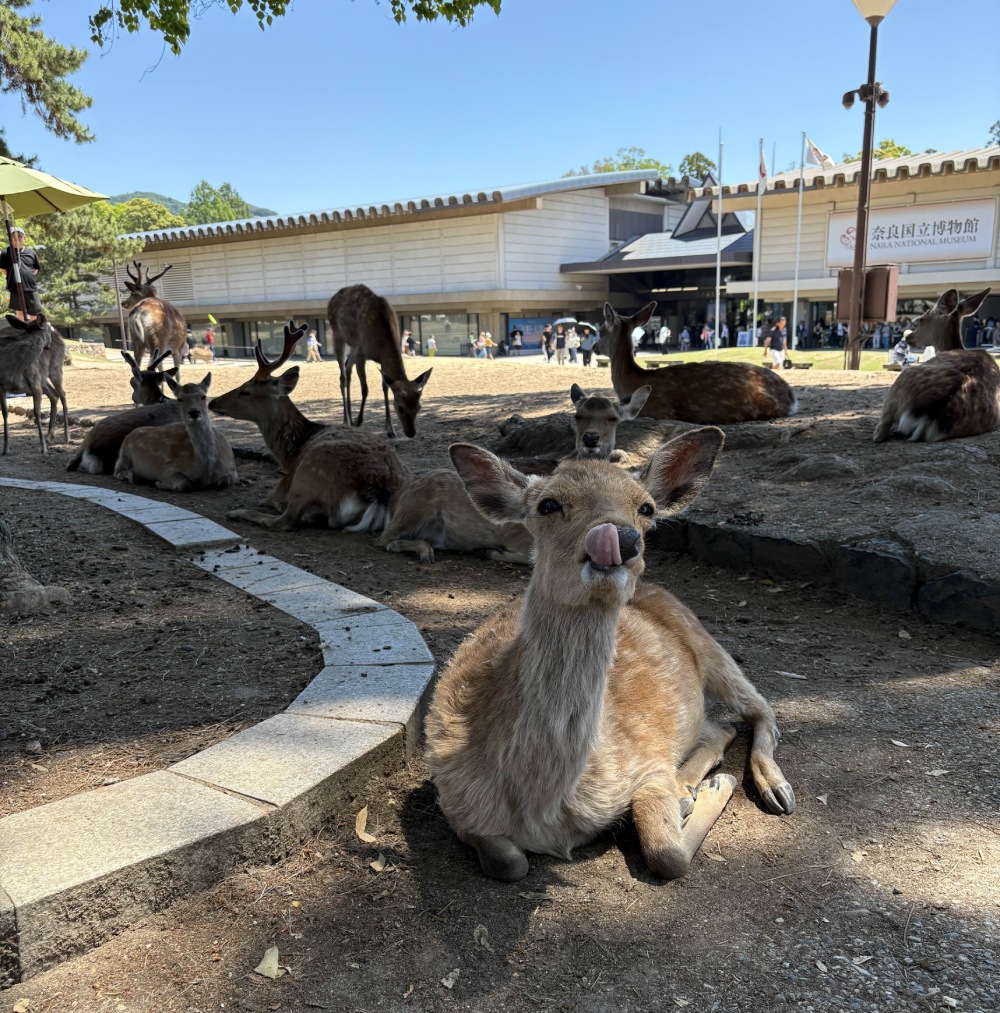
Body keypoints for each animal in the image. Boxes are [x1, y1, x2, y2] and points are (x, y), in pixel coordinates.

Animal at [0, 313, 68, 454]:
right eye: (49, 326)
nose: (49, 345)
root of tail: (61, 337)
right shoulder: (1, 387)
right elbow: (4, 413)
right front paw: (5, 448)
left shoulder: (35, 384)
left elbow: (37, 412)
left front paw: (43, 448)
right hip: (43, 379)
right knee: (54, 395)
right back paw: (49, 436)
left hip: (56, 369)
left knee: (63, 394)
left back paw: (66, 437)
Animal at [209, 321, 409, 531]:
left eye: (245, 390)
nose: (212, 402)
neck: (289, 455)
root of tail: (378, 494)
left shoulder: (286, 481)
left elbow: (271, 497)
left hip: (307, 475)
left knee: (285, 520)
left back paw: (237, 512)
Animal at [328, 284, 432, 439]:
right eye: (400, 407)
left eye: (419, 407)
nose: (411, 432)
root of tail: (331, 299)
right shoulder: (361, 354)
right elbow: (365, 389)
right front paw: (358, 421)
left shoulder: (381, 360)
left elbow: (385, 388)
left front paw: (390, 430)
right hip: (338, 335)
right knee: (343, 376)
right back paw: (347, 420)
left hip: (353, 346)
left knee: (347, 367)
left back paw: (350, 417)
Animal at [375, 385, 653, 563]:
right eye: (578, 415)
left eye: (612, 418)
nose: (590, 438)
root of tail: (398, 497)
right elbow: (529, 557)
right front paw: (490, 552)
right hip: (413, 509)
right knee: (384, 539)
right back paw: (426, 552)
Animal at [424, 429, 795, 883]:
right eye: (548, 504)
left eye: (646, 508)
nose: (623, 539)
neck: (544, 808)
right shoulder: (454, 800)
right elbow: (509, 862)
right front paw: (697, 792)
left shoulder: (648, 758)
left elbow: (666, 855)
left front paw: (713, 789)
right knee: (721, 726)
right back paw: (692, 788)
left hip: (709, 643)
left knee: (761, 709)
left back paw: (771, 789)